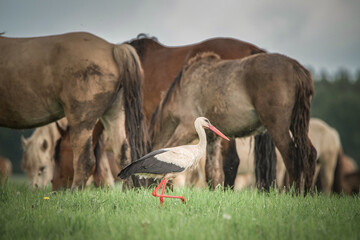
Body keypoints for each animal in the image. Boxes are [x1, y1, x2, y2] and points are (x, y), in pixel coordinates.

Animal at [0, 31, 149, 189]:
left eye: (43, 168)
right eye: (25, 168)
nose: (55, 188)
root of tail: (112, 48)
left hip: (81, 118)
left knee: (85, 161)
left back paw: (75, 190)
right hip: (114, 115)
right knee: (123, 154)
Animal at [148, 52, 316, 191]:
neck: (184, 90)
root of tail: (296, 68)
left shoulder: (186, 129)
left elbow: (168, 150)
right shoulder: (212, 138)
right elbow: (213, 171)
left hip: (277, 127)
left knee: (292, 157)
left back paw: (293, 193)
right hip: (296, 126)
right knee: (310, 154)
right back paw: (306, 193)